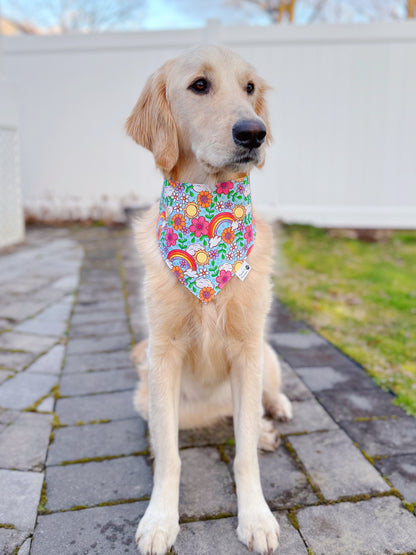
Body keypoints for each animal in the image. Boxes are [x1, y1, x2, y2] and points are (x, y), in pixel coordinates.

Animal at [127, 46, 292, 555]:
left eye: (250, 88)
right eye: (199, 85)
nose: (254, 133)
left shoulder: (248, 349)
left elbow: (244, 456)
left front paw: (256, 516)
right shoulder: (162, 354)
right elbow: (169, 457)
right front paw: (160, 520)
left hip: (268, 357)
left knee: (263, 401)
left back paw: (273, 417)